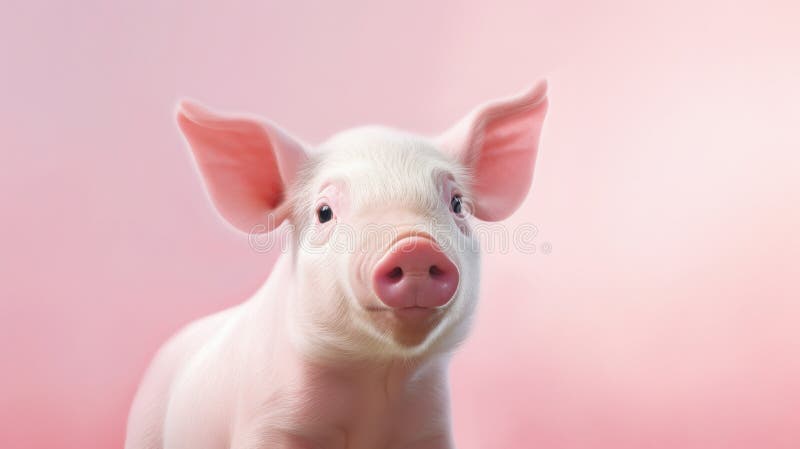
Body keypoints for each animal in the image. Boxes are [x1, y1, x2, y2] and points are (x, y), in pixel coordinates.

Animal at [125, 80, 549, 449]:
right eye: (324, 212)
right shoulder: (270, 423)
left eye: (457, 203)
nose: (413, 246)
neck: (374, 381)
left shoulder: (429, 427)